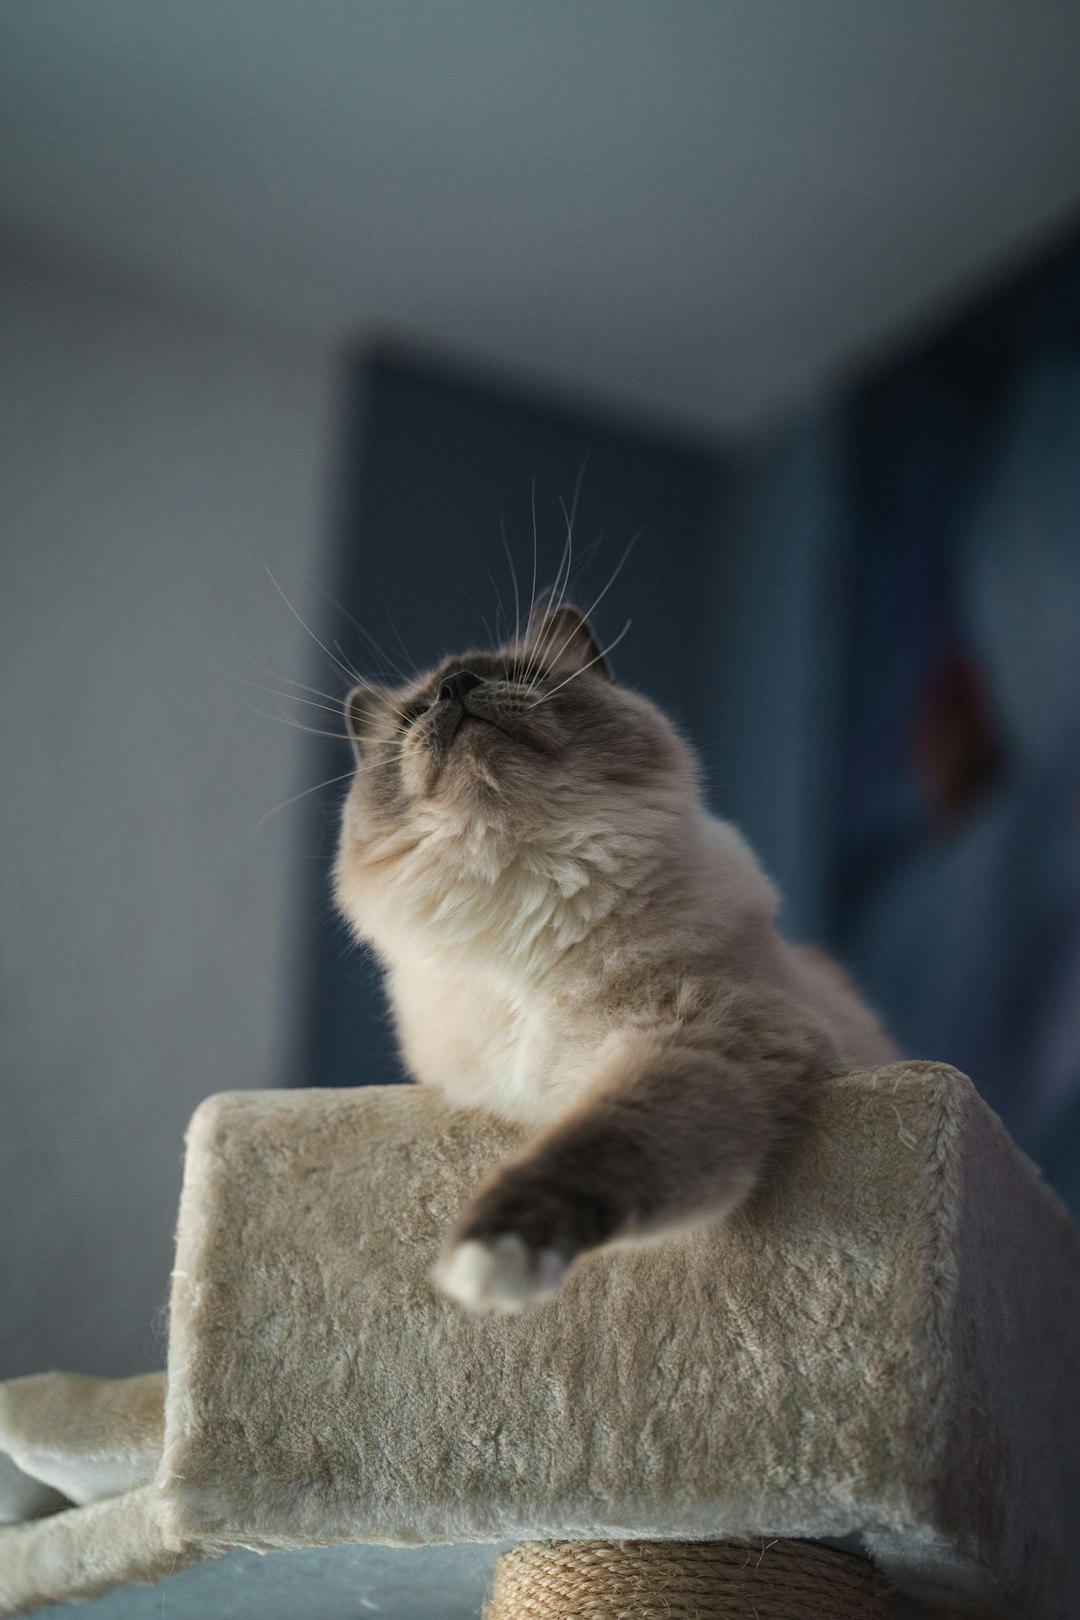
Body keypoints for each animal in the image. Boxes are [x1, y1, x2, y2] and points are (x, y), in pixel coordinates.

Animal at [335, 602, 893, 1308]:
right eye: (414, 714)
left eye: (521, 676)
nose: (457, 686)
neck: (523, 906)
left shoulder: (691, 1039)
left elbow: (591, 1145)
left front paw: (488, 1262)